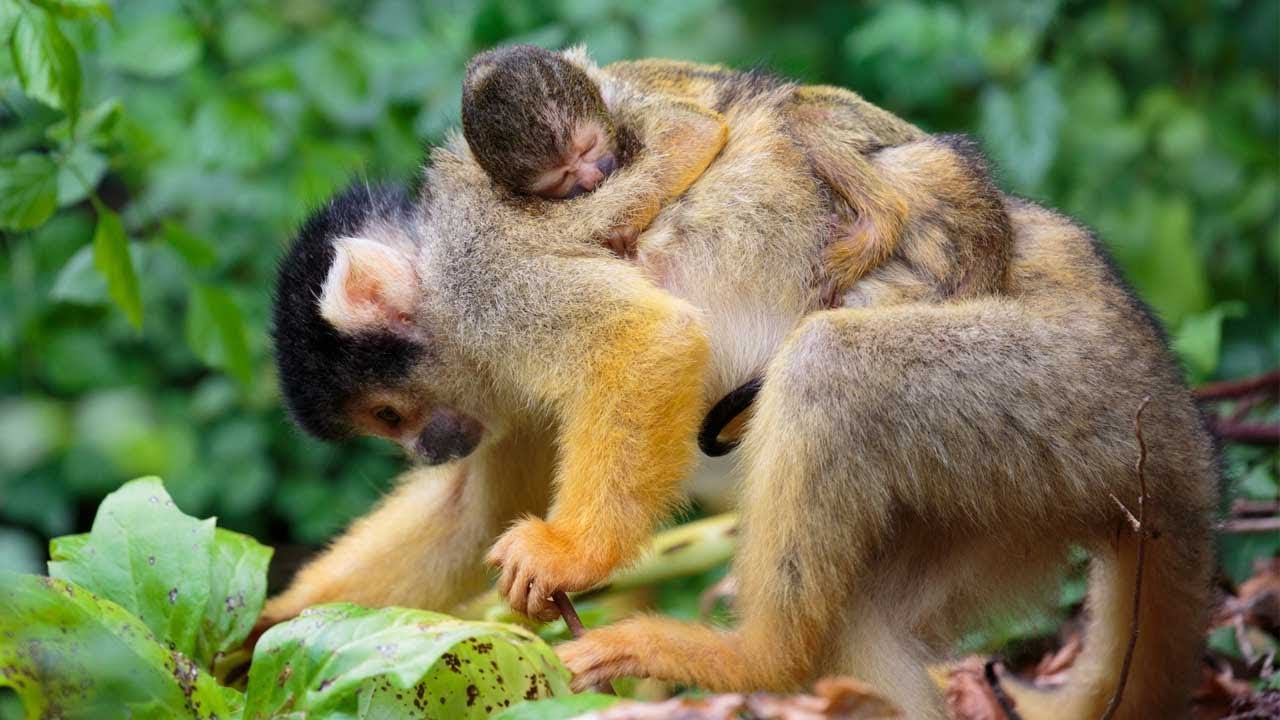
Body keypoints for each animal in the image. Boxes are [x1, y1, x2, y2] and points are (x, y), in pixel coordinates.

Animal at [266, 57, 1216, 720]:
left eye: (392, 413)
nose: (428, 445)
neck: (437, 250)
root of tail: (1174, 425)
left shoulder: (488, 276)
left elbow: (647, 341)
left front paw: (571, 554)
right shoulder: (494, 373)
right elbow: (472, 515)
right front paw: (270, 628)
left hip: (1064, 392)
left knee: (832, 370)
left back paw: (761, 660)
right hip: (1027, 494)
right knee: (874, 610)